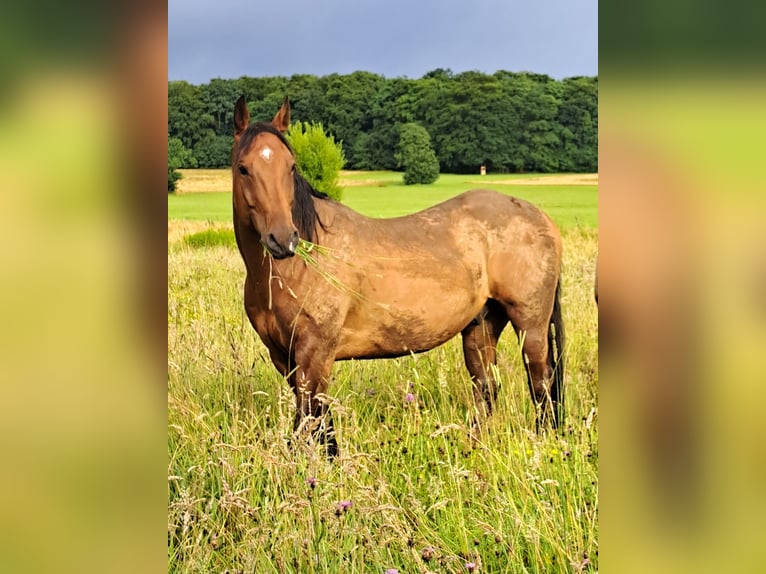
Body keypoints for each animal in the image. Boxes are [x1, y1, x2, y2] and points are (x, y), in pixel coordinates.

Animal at [232, 96, 565, 456]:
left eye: (291, 167)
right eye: (243, 168)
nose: (283, 239)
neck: (299, 266)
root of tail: (540, 218)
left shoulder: (314, 354)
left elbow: (308, 421)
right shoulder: (285, 358)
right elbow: (321, 423)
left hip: (531, 325)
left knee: (542, 385)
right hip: (482, 325)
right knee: (487, 387)